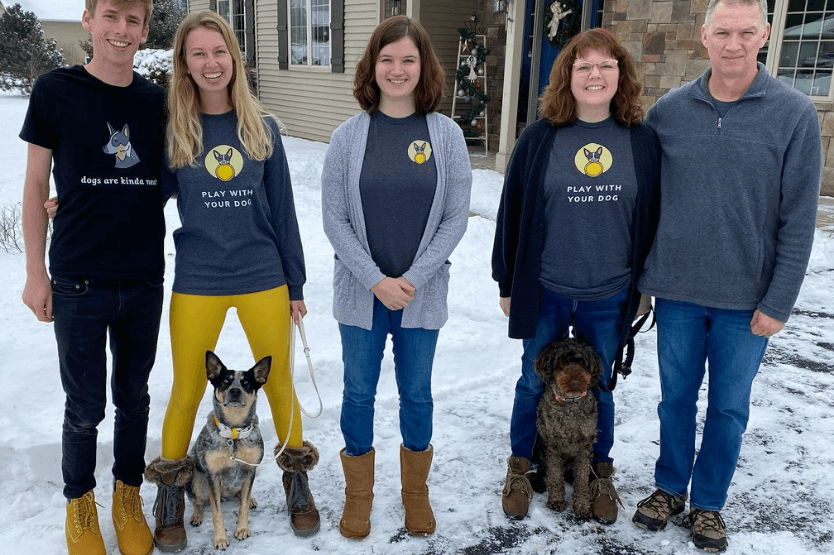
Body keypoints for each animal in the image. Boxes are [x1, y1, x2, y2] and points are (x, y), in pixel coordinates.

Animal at [536, 338, 600, 520]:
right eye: (561, 361)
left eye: (582, 362)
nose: (575, 381)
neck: (570, 404)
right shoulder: (552, 444)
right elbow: (554, 475)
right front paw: (556, 501)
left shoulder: (585, 445)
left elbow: (582, 478)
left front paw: (582, 506)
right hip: (539, 446)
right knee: (541, 468)